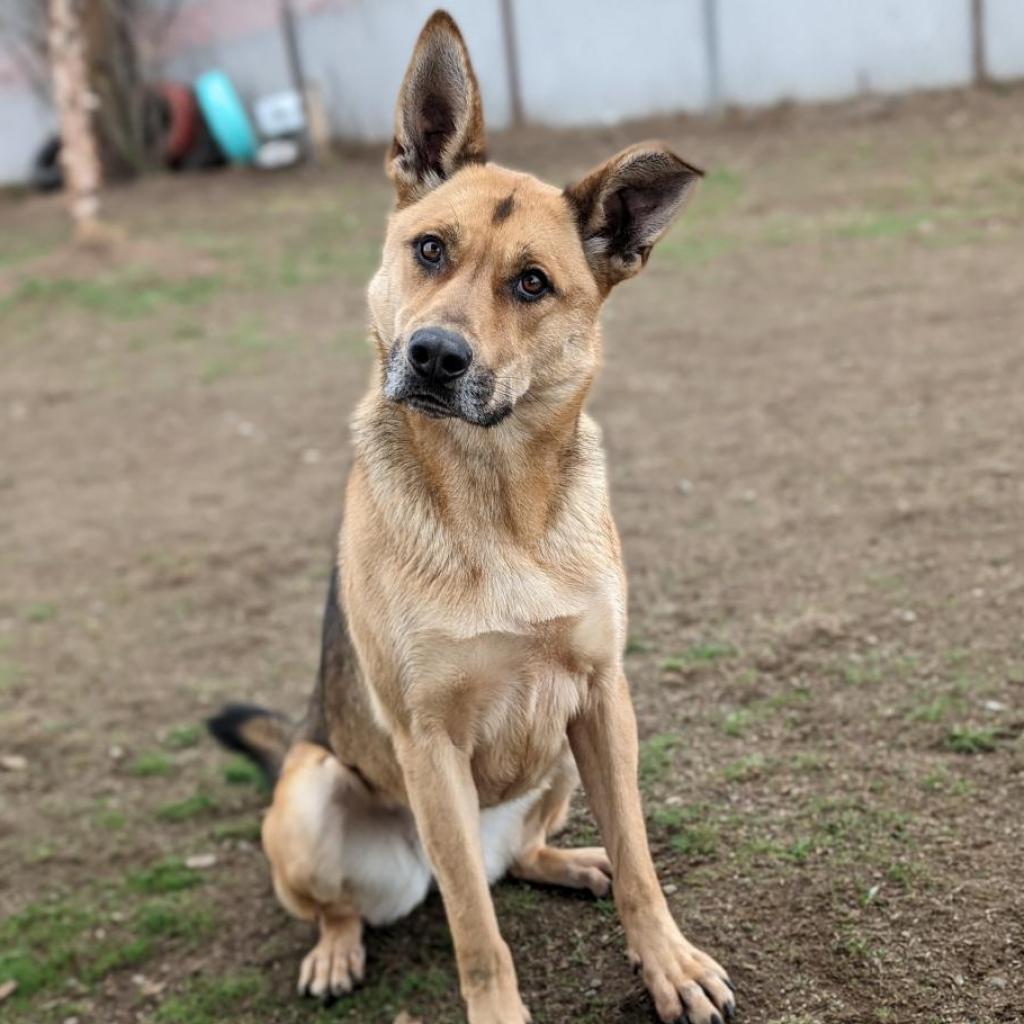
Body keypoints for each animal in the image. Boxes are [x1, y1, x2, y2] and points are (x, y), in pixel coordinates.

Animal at [209, 9, 737, 1024]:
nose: (432, 355)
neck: (497, 506)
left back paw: (570, 863)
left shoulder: (603, 696)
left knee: (519, 859)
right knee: (369, 900)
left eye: (532, 284)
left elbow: (644, 863)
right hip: (312, 794)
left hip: (562, 757)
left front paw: (669, 963)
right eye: (429, 250)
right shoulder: (430, 746)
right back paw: (337, 949)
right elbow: (475, 933)